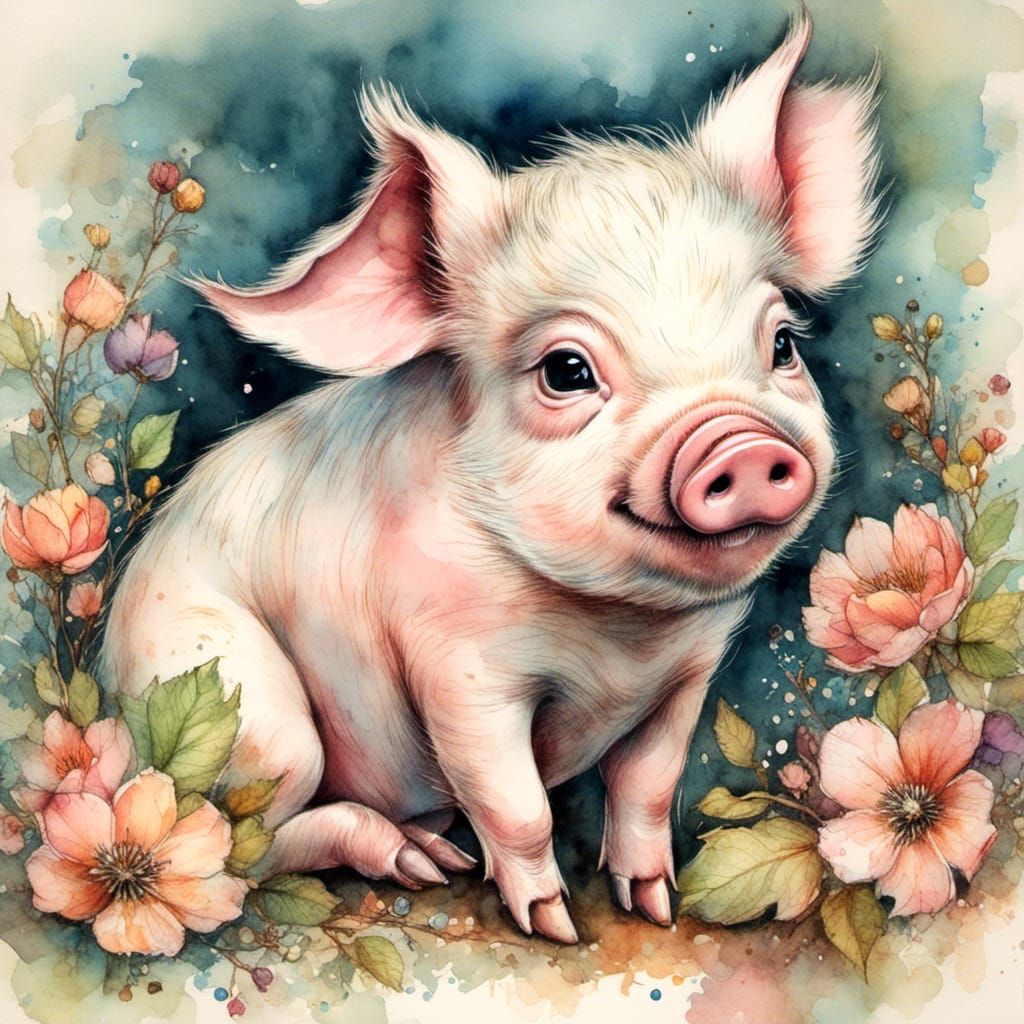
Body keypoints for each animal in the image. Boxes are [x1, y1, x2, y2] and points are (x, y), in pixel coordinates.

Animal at [101, 9, 880, 944]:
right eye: (567, 370)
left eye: (782, 344)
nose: (740, 445)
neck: (620, 637)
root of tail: (110, 682)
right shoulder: (455, 671)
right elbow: (517, 806)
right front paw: (554, 925)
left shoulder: (690, 673)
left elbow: (648, 786)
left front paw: (655, 905)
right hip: (243, 705)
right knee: (239, 842)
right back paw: (420, 862)